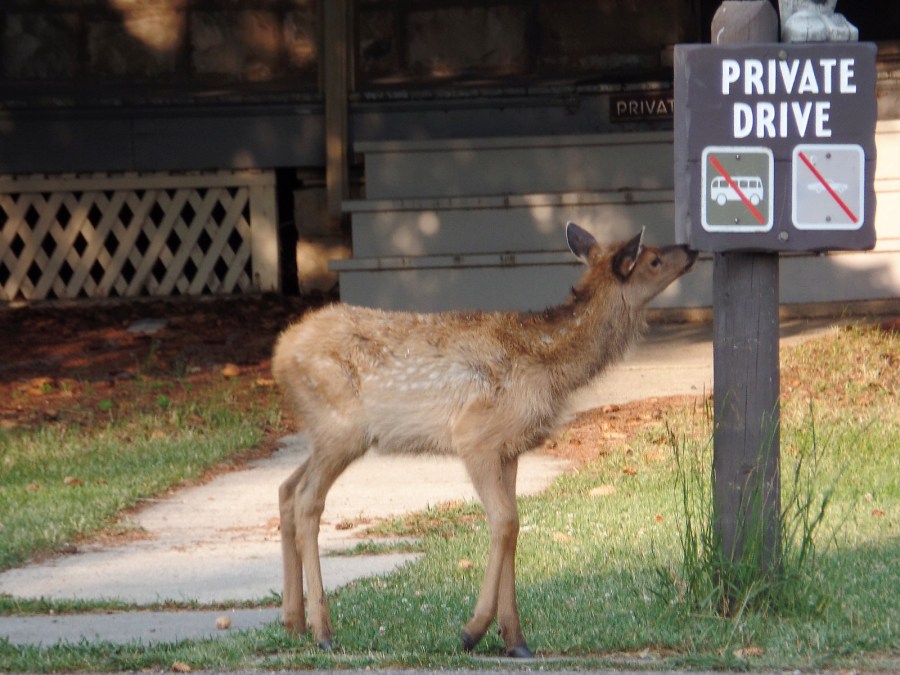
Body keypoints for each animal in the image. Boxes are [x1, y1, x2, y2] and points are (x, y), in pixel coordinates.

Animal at [272, 222, 697, 657]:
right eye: (653, 259)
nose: (691, 249)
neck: (552, 366)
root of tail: (280, 353)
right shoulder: (475, 437)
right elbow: (505, 521)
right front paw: (473, 630)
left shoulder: (510, 449)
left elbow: (512, 524)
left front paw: (516, 640)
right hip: (340, 426)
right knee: (307, 499)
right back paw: (323, 630)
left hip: (327, 432)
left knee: (287, 488)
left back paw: (294, 623)